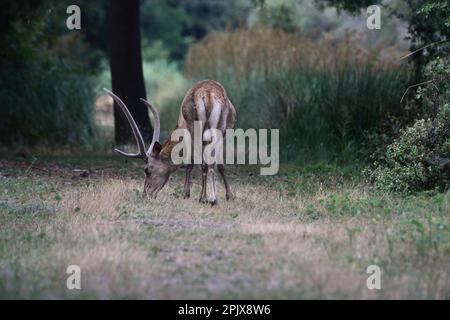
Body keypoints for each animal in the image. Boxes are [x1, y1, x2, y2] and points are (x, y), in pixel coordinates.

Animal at [104, 79, 237, 205]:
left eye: (147, 170)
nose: (146, 194)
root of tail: (208, 96)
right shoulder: (223, 134)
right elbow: (220, 165)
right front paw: (229, 196)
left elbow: (191, 163)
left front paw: (186, 194)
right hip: (219, 129)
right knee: (211, 163)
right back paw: (213, 199)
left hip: (196, 130)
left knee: (205, 163)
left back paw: (207, 199)